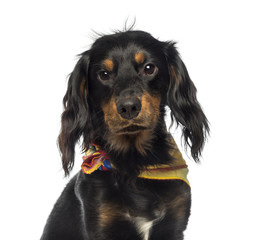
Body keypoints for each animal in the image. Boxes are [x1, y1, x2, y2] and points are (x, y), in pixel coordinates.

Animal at [41, 30, 208, 240]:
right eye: (103, 74)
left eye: (149, 68)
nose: (129, 107)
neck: (135, 162)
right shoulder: (102, 219)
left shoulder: (174, 224)